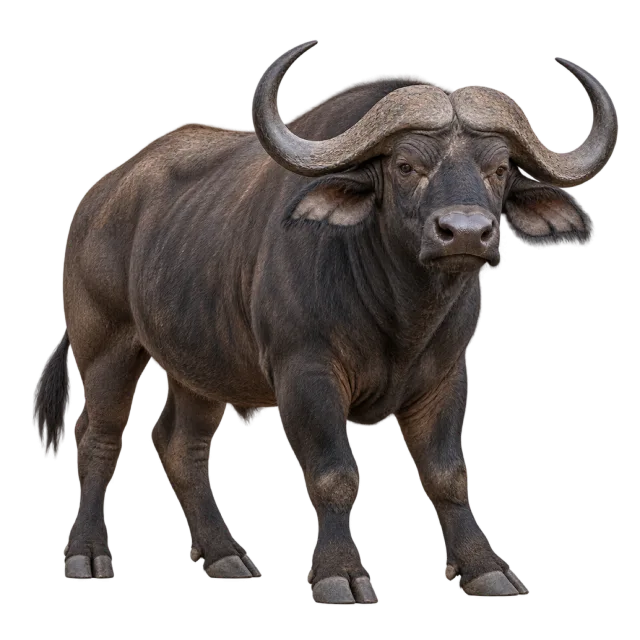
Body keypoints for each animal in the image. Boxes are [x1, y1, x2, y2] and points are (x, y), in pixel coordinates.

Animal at [34, 42, 616, 602]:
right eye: (406, 165)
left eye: (498, 169)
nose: (467, 233)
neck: (399, 312)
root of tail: (98, 200)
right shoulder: (305, 371)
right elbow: (333, 473)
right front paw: (341, 575)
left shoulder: (447, 374)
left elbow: (449, 473)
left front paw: (486, 570)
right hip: (106, 345)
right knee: (99, 437)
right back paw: (86, 556)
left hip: (198, 366)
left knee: (183, 446)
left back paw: (225, 557)